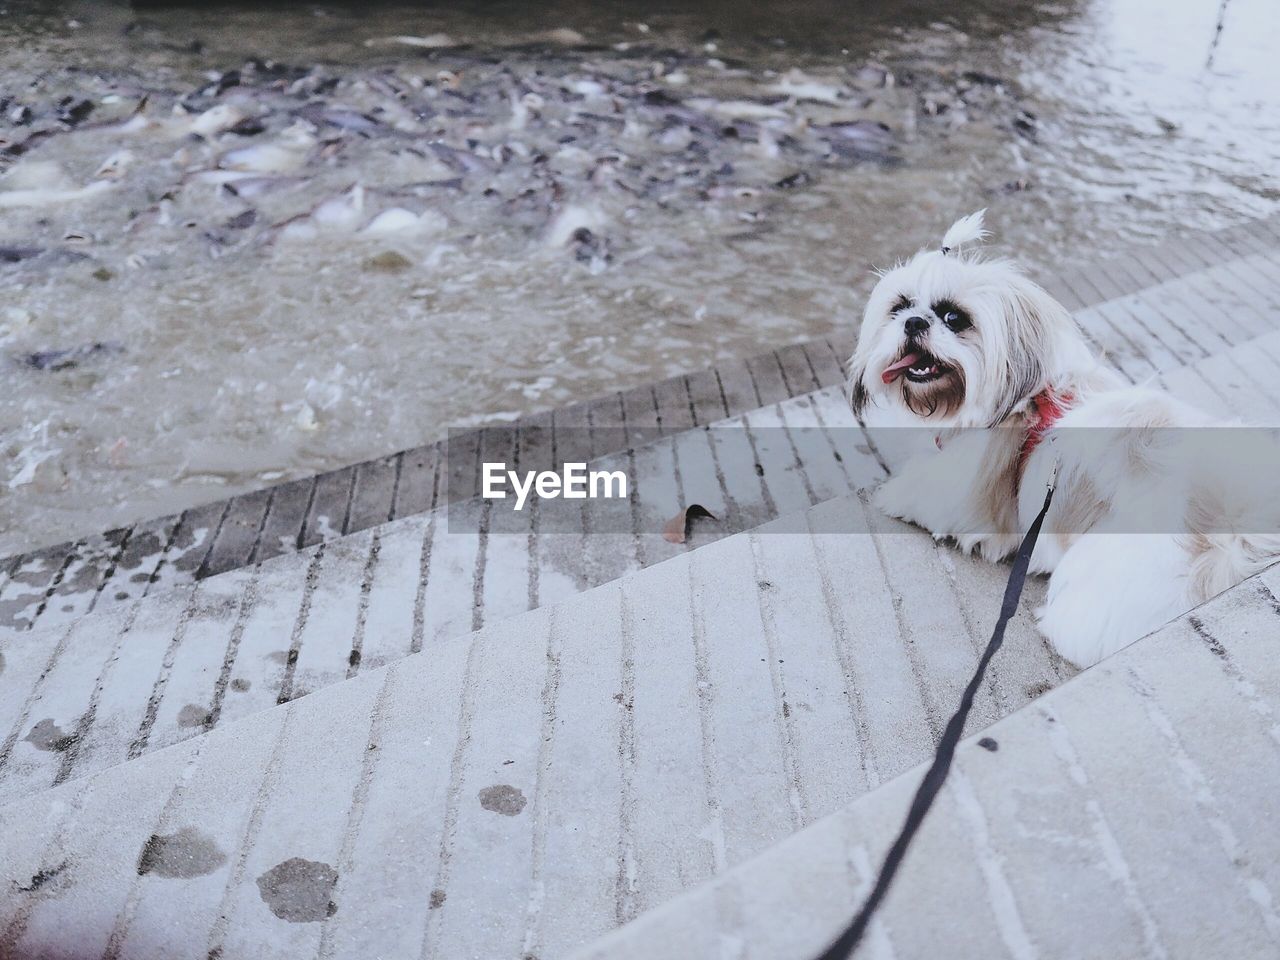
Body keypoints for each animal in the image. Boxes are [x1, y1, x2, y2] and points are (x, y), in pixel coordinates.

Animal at [849, 212, 1280, 670]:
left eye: (954, 318)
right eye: (899, 307)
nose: (914, 322)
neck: (1028, 401)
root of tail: (1228, 536)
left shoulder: (964, 491)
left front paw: (894, 495)